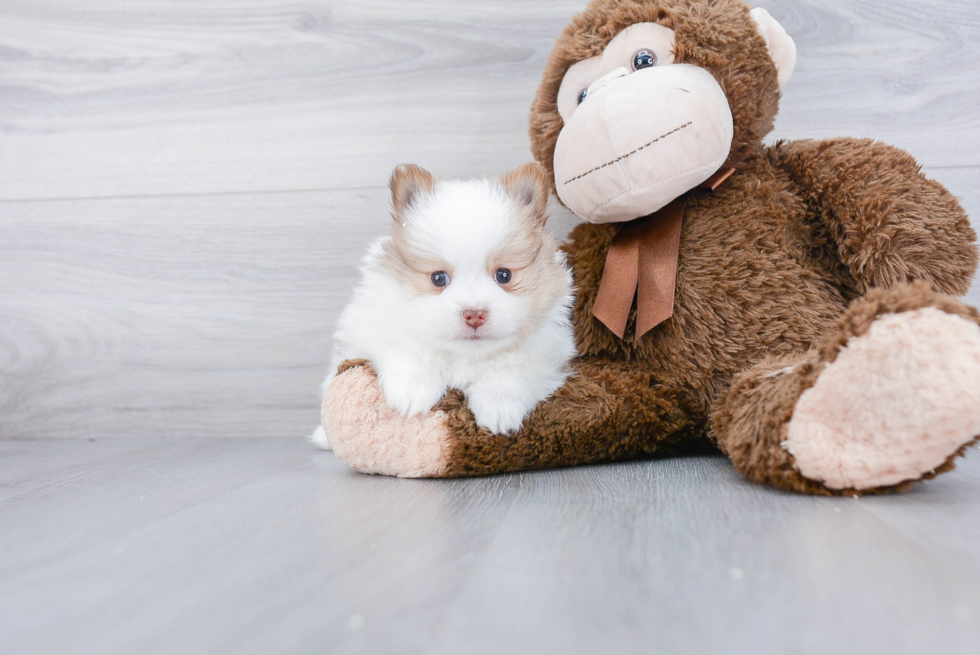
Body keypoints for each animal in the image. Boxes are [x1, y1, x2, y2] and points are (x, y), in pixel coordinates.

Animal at [310, 161, 580, 448]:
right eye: (438, 278)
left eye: (504, 275)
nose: (474, 314)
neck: (464, 356)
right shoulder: (374, 325)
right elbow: (406, 349)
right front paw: (413, 391)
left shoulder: (547, 351)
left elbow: (513, 369)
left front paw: (497, 406)